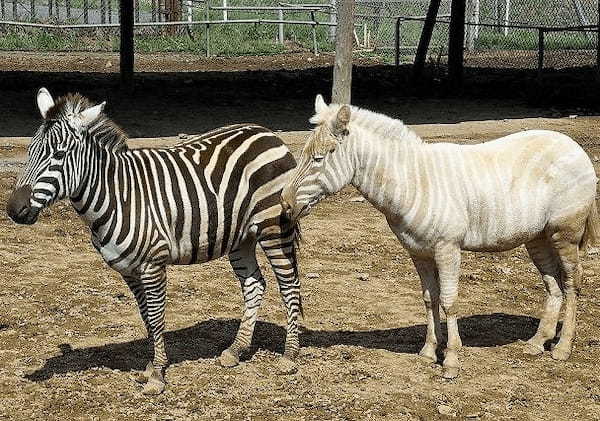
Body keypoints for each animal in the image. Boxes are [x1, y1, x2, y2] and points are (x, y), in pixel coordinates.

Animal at [6, 88, 302, 394]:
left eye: (59, 154)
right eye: (29, 151)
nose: (14, 210)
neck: (116, 194)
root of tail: (266, 133)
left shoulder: (153, 264)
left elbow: (158, 317)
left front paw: (158, 375)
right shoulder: (128, 270)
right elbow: (147, 316)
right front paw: (151, 366)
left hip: (273, 227)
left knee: (289, 285)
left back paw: (289, 356)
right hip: (240, 237)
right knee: (254, 284)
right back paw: (236, 349)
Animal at [282, 96, 600, 380]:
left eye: (320, 158)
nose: (285, 204)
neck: (414, 183)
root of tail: (573, 145)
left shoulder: (448, 248)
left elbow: (448, 301)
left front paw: (451, 360)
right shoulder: (418, 251)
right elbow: (428, 298)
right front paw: (428, 350)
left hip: (564, 232)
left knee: (572, 282)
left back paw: (562, 348)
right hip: (537, 237)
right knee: (553, 284)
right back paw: (537, 342)